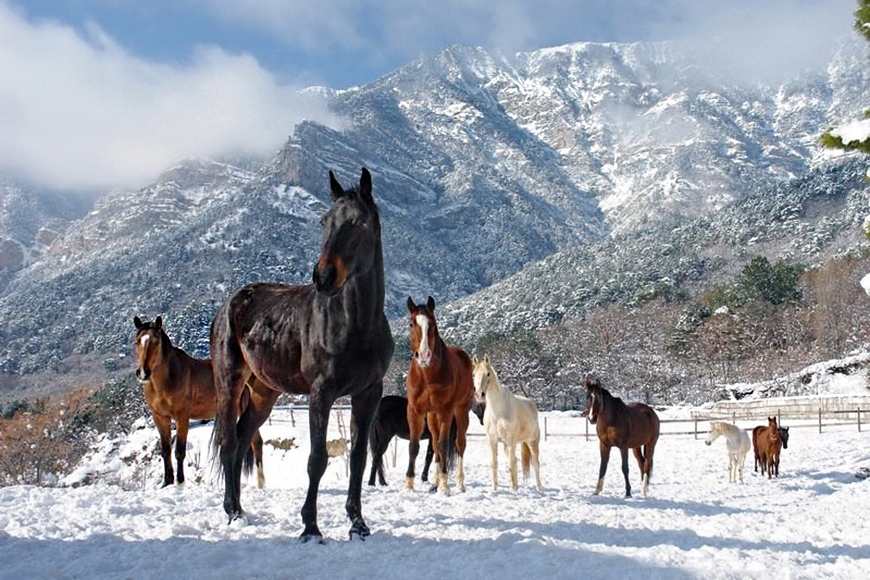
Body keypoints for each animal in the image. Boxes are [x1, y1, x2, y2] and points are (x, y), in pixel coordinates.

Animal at [133, 318, 266, 490]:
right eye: (137, 341)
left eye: (156, 342)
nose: (143, 372)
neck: (168, 380)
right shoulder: (160, 418)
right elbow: (165, 451)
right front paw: (167, 483)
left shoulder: (182, 417)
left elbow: (179, 451)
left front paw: (180, 483)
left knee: (257, 443)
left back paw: (261, 485)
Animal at [209, 169, 394, 544]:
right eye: (324, 221)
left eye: (360, 223)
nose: (323, 276)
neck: (356, 326)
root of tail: (229, 304)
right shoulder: (321, 394)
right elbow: (317, 459)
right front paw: (310, 526)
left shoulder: (369, 393)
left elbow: (358, 457)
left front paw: (358, 524)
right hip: (229, 384)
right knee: (228, 442)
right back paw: (231, 511)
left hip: (264, 393)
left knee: (242, 438)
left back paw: (240, 511)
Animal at [406, 296, 474, 496]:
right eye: (411, 323)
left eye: (433, 324)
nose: (424, 356)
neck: (427, 376)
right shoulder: (415, 411)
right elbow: (414, 447)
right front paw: (408, 484)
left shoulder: (445, 411)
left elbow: (444, 445)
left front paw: (445, 486)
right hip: (431, 417)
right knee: (435, 446)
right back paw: (434, 483)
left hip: (460, 412)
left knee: (459, 444)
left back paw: (459, 483)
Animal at [474, 354, 540, 490]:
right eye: (473, 374)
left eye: (488, 373)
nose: (479, 395)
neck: (498, 412)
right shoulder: (492, 441)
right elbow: (494, 464)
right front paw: (495, 489)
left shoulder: (511, 441)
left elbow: (510, 465)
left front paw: (513, 490)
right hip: (507, 445)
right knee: (515, 461)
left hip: (532, 442)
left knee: (535, 464)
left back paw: (539, 488)